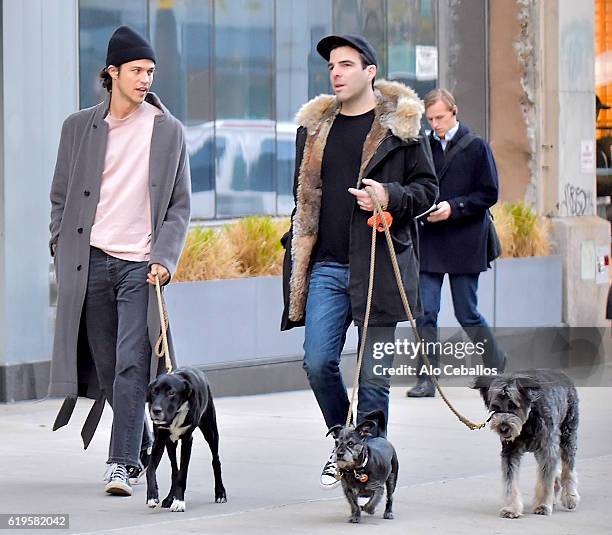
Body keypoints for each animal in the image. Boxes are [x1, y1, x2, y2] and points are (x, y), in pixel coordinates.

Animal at [146, 366, 227, 512]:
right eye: (154, 391)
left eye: (171, 393)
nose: (155, 411)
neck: (176, 413)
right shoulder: (159, 440)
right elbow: (151, 470)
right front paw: (152, 497)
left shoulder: (187, 440)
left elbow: (183, 473)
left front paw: (179, 502)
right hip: (170, 443)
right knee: (174, 469)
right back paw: (169, 499)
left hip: (210, 431)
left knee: (215, 460)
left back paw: (220, 493)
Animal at [470, 370, 580, 516]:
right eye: (495, 407)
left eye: (513, 405)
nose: (503, 428)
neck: (527, 421)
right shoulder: (510, 452)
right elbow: (510, 481)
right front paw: (511, 508)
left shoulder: (547, 448)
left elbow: (545, 480)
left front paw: (543, 505)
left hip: (568, 434)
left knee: (568, 469)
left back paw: (570, 497)